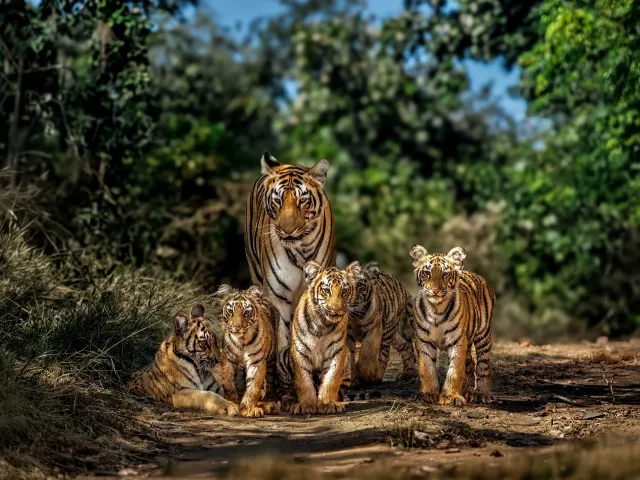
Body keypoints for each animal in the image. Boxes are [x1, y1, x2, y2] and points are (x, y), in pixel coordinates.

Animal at [216, 284, 278, 418]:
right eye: (230, 311)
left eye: (246, 312)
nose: (237, 327)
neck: (242, 340)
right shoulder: (227, 359)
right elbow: (228, 383)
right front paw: (232, 404)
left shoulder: (257, 361)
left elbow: (254, 386)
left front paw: (248, 409)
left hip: (271, 358)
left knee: (269, 382)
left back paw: (268, 403)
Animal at [245, 151, 337, 404]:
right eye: (277, 200)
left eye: (302, 201)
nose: (286, 231)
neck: (300, 248)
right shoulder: (279, 296)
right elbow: (285, 343)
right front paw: (288, 391)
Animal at [290, 260, 361, 415]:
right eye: (326, 290)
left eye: (344, 291)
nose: (336, 309)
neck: (323, 324)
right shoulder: (299, 350)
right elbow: (303, 380)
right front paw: (306, 405)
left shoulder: (337, 351)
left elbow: (331, 379)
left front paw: (328, 403)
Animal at [409, 245, 496, 406]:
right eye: (427, 272)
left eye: (445, 274)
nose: (435, 290)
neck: (436, 310)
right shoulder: (423, 341)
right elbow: (427, 368)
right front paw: (428, 394)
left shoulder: (458, 341)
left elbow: (455, 370)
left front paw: (451, 396)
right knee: (470, 363)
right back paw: (468, 391)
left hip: (483, 335)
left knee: (483, 365)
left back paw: (481, 393)